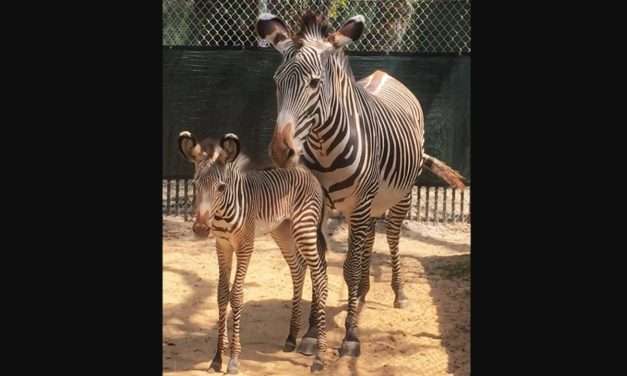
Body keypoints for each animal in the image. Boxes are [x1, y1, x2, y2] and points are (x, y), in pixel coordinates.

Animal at [256, 11, 466, 358]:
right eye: (276, 82)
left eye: (315, 83)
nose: (279, 151)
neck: (324, 148)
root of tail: (384, 74)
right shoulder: (321, 207)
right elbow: (320, 265)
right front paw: (312, 332)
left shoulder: (360, 203)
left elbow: (349, 268)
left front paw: (351, 336)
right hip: (371, 203)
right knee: (368, 238)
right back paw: (365, 290)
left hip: (398, 196)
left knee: (391, 238)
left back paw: (398, 293)